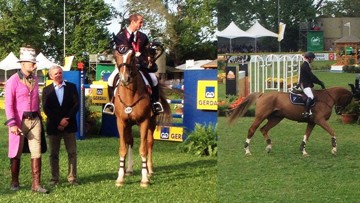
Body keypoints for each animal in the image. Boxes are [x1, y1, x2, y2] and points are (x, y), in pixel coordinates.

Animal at [113, 35, 172, 187]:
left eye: (133, 56)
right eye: (116, 56)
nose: (125, 78)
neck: (130, 94)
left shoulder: (144, 122)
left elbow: (143, 149)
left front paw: (145, 179)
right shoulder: (121, 122)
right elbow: (123, 148)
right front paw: (120, 177)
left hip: (151, 123)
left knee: (150, 143)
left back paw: (150, 169)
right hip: (129, 125)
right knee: (130, 142)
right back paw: (128, 169)